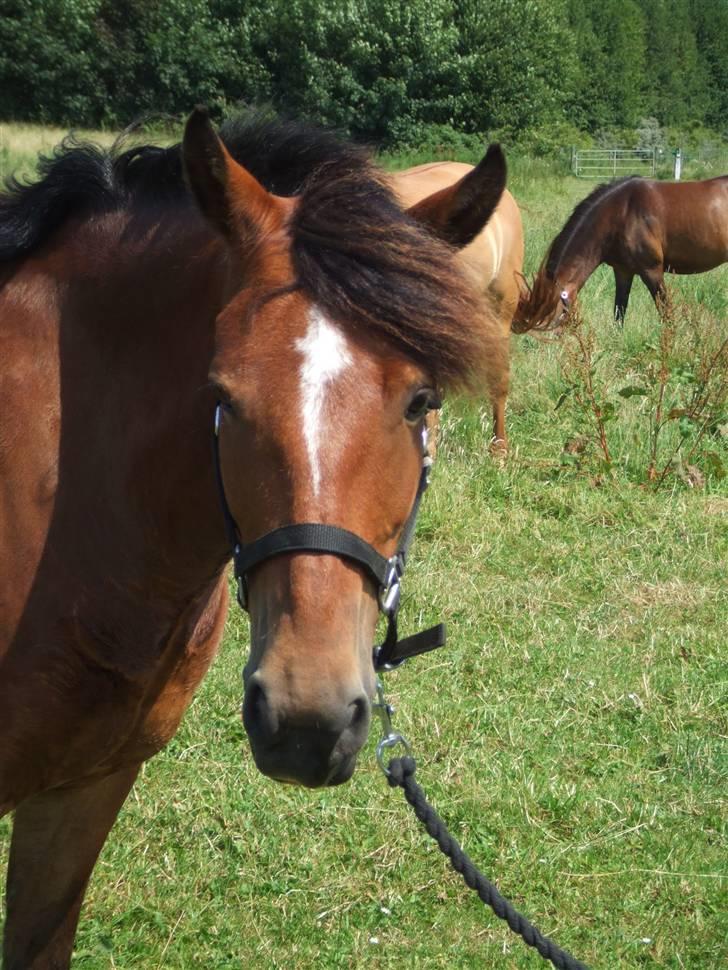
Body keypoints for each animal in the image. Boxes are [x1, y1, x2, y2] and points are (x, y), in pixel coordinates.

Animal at [512, 177, 728, 332]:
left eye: (544, 316)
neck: (621, 213)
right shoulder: (623, 271)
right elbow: (619, 310)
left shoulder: (652, 270)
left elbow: (665, 311)